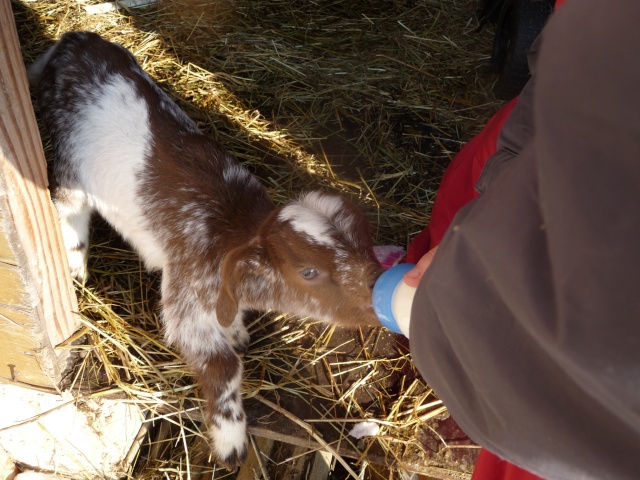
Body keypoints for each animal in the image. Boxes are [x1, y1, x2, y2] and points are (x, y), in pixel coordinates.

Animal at [28, 31, 380, 468]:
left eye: (362, 241)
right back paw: (75, 264)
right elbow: (222, 367)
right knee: (67, 206)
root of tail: (74, 38)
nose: (376, 290)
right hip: (70, 162)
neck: (234, 229)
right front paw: (231, 444)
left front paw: (238, 333)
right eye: (308, 271)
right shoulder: (186, 300)